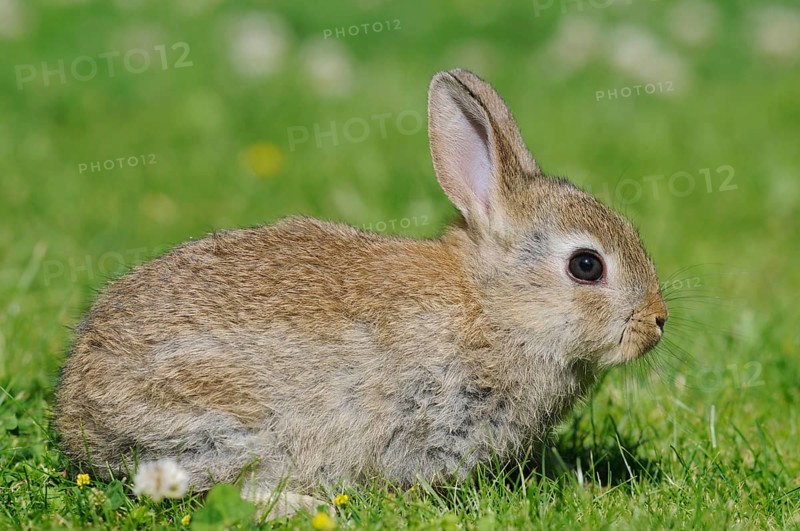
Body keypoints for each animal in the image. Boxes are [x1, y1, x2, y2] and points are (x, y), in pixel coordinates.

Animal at [55, 69, 668, 518]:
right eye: (586, 266)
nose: (657, 322)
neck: (494, 307)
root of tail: (77, 416)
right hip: (226, 423)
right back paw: (306, 506)